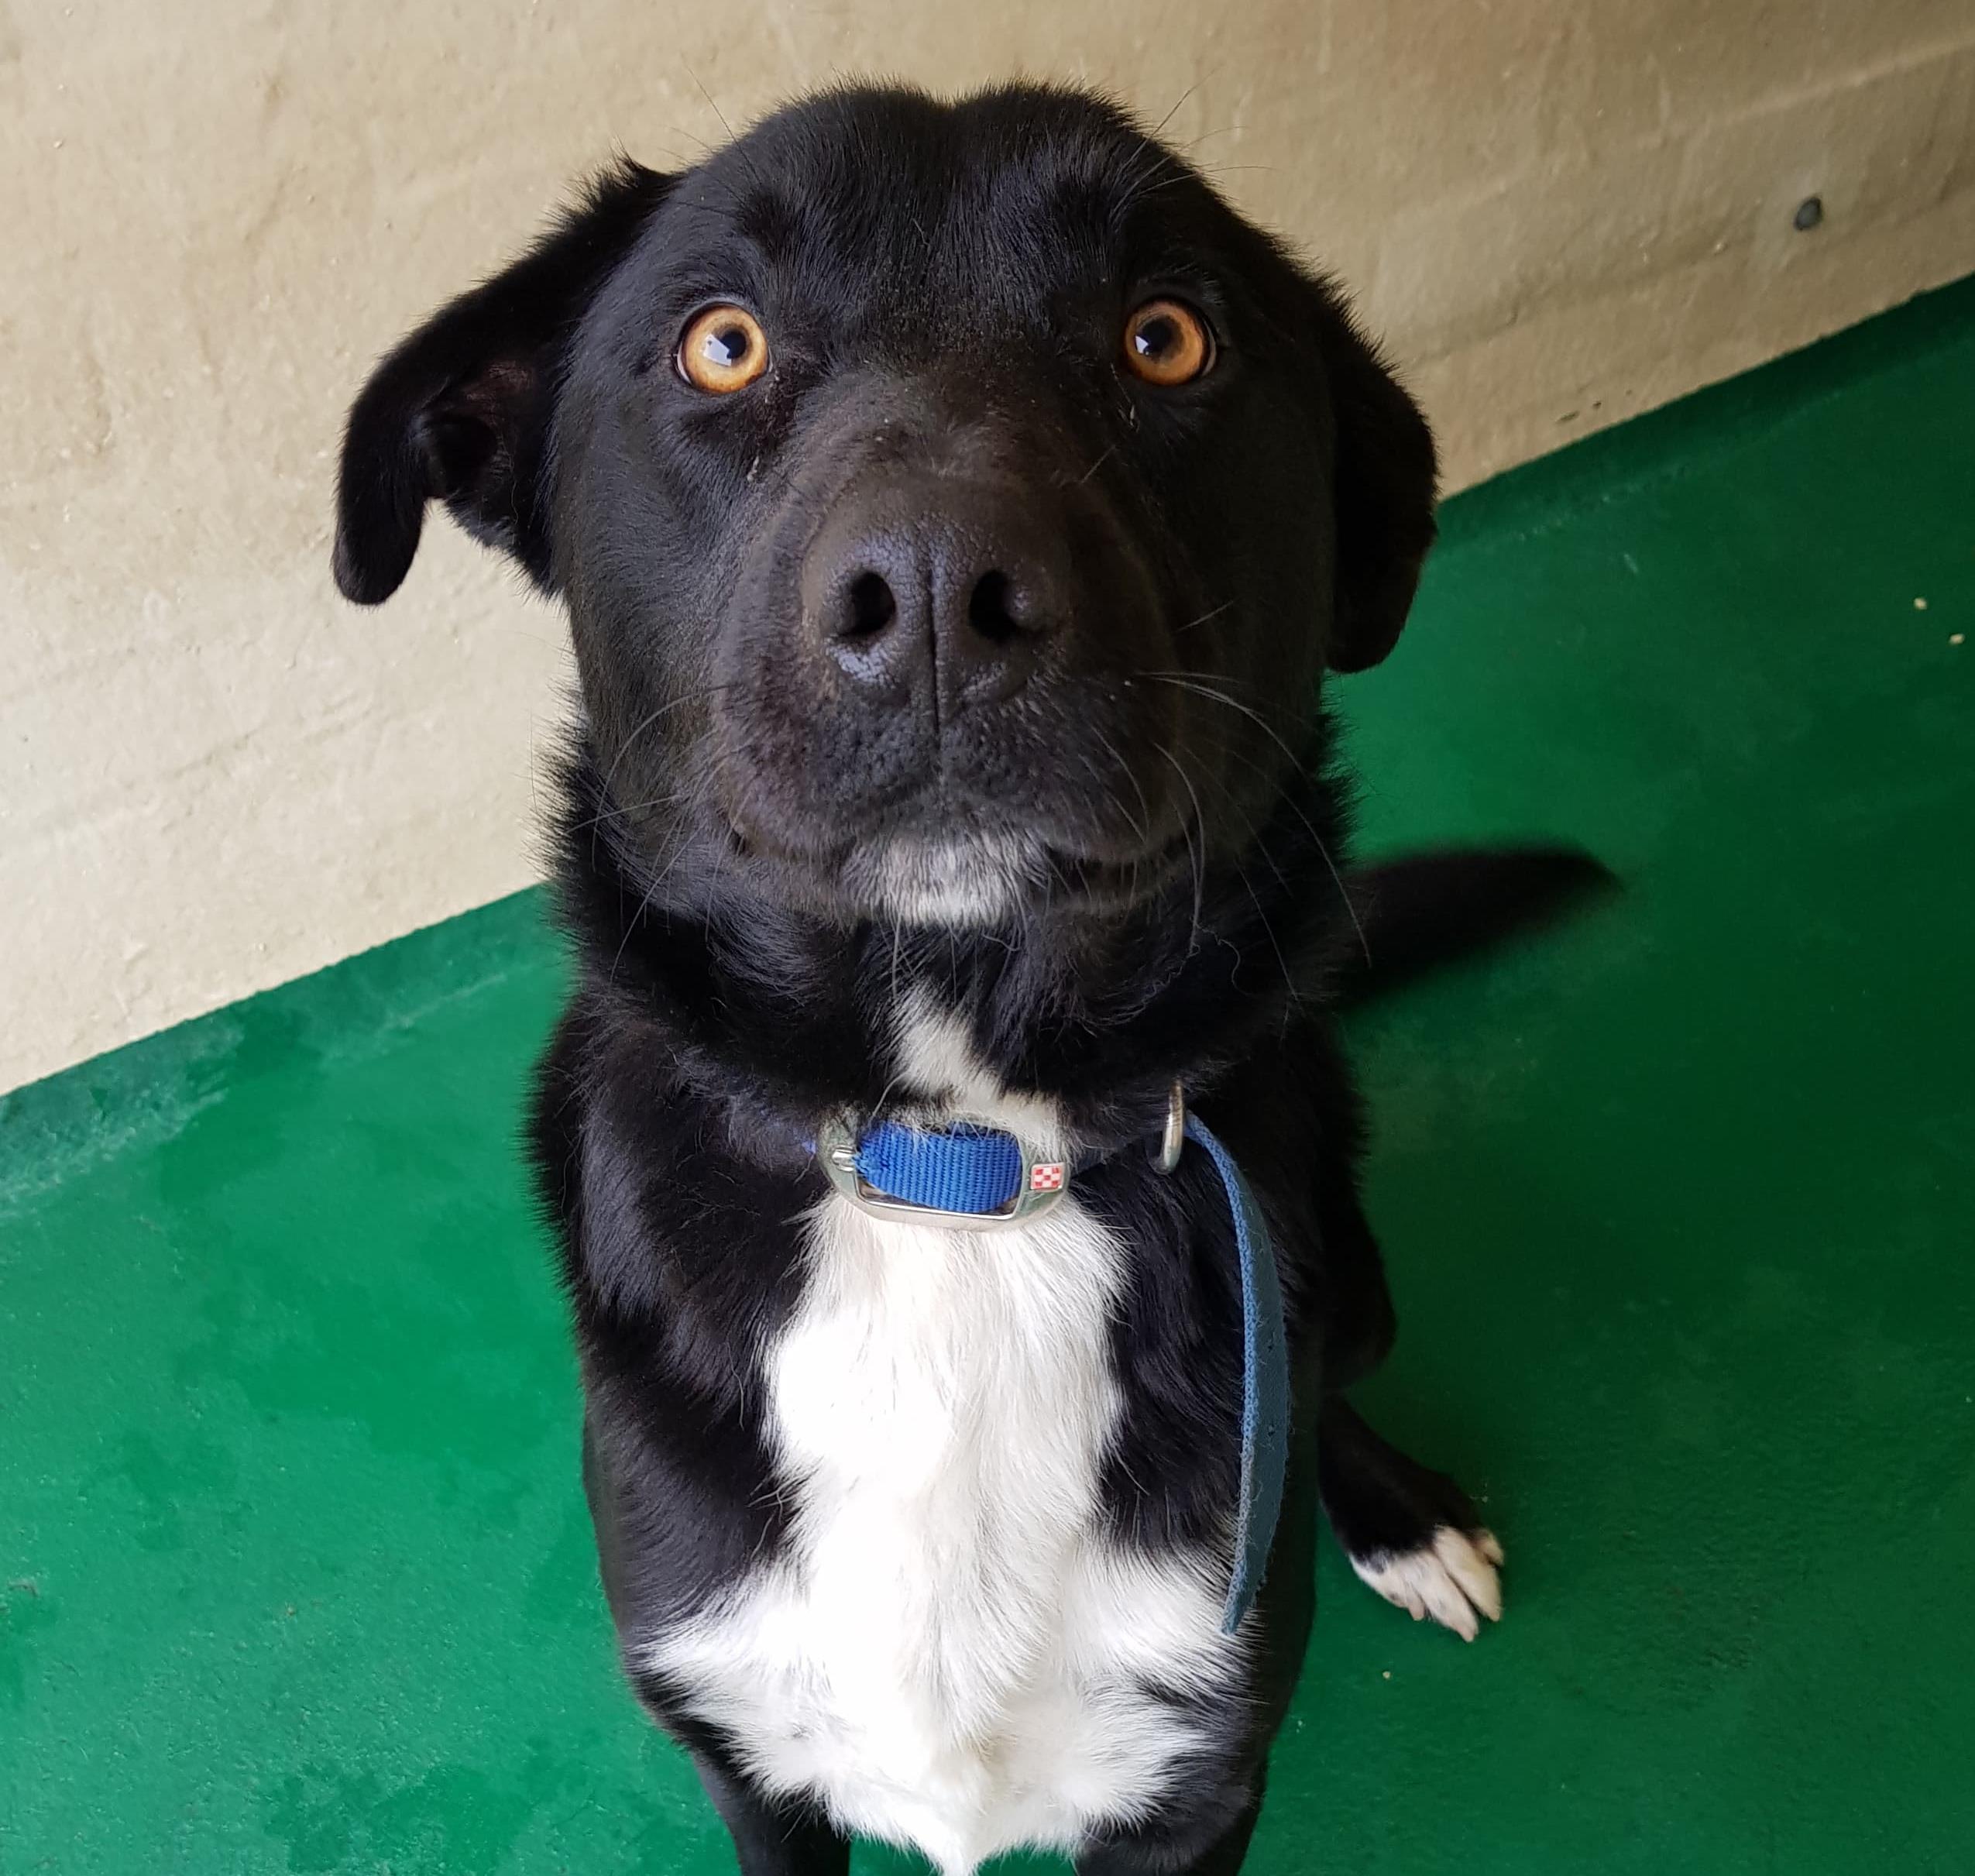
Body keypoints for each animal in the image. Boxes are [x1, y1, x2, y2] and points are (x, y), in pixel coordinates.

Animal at [333, 82, 1604, 1876]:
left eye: (1166, 337)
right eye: (721, 342)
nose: (939, 590)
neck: (957, 1166)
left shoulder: (1195, 1783)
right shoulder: (755, 1761)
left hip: (1346, 1271)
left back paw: (1398, 1511)